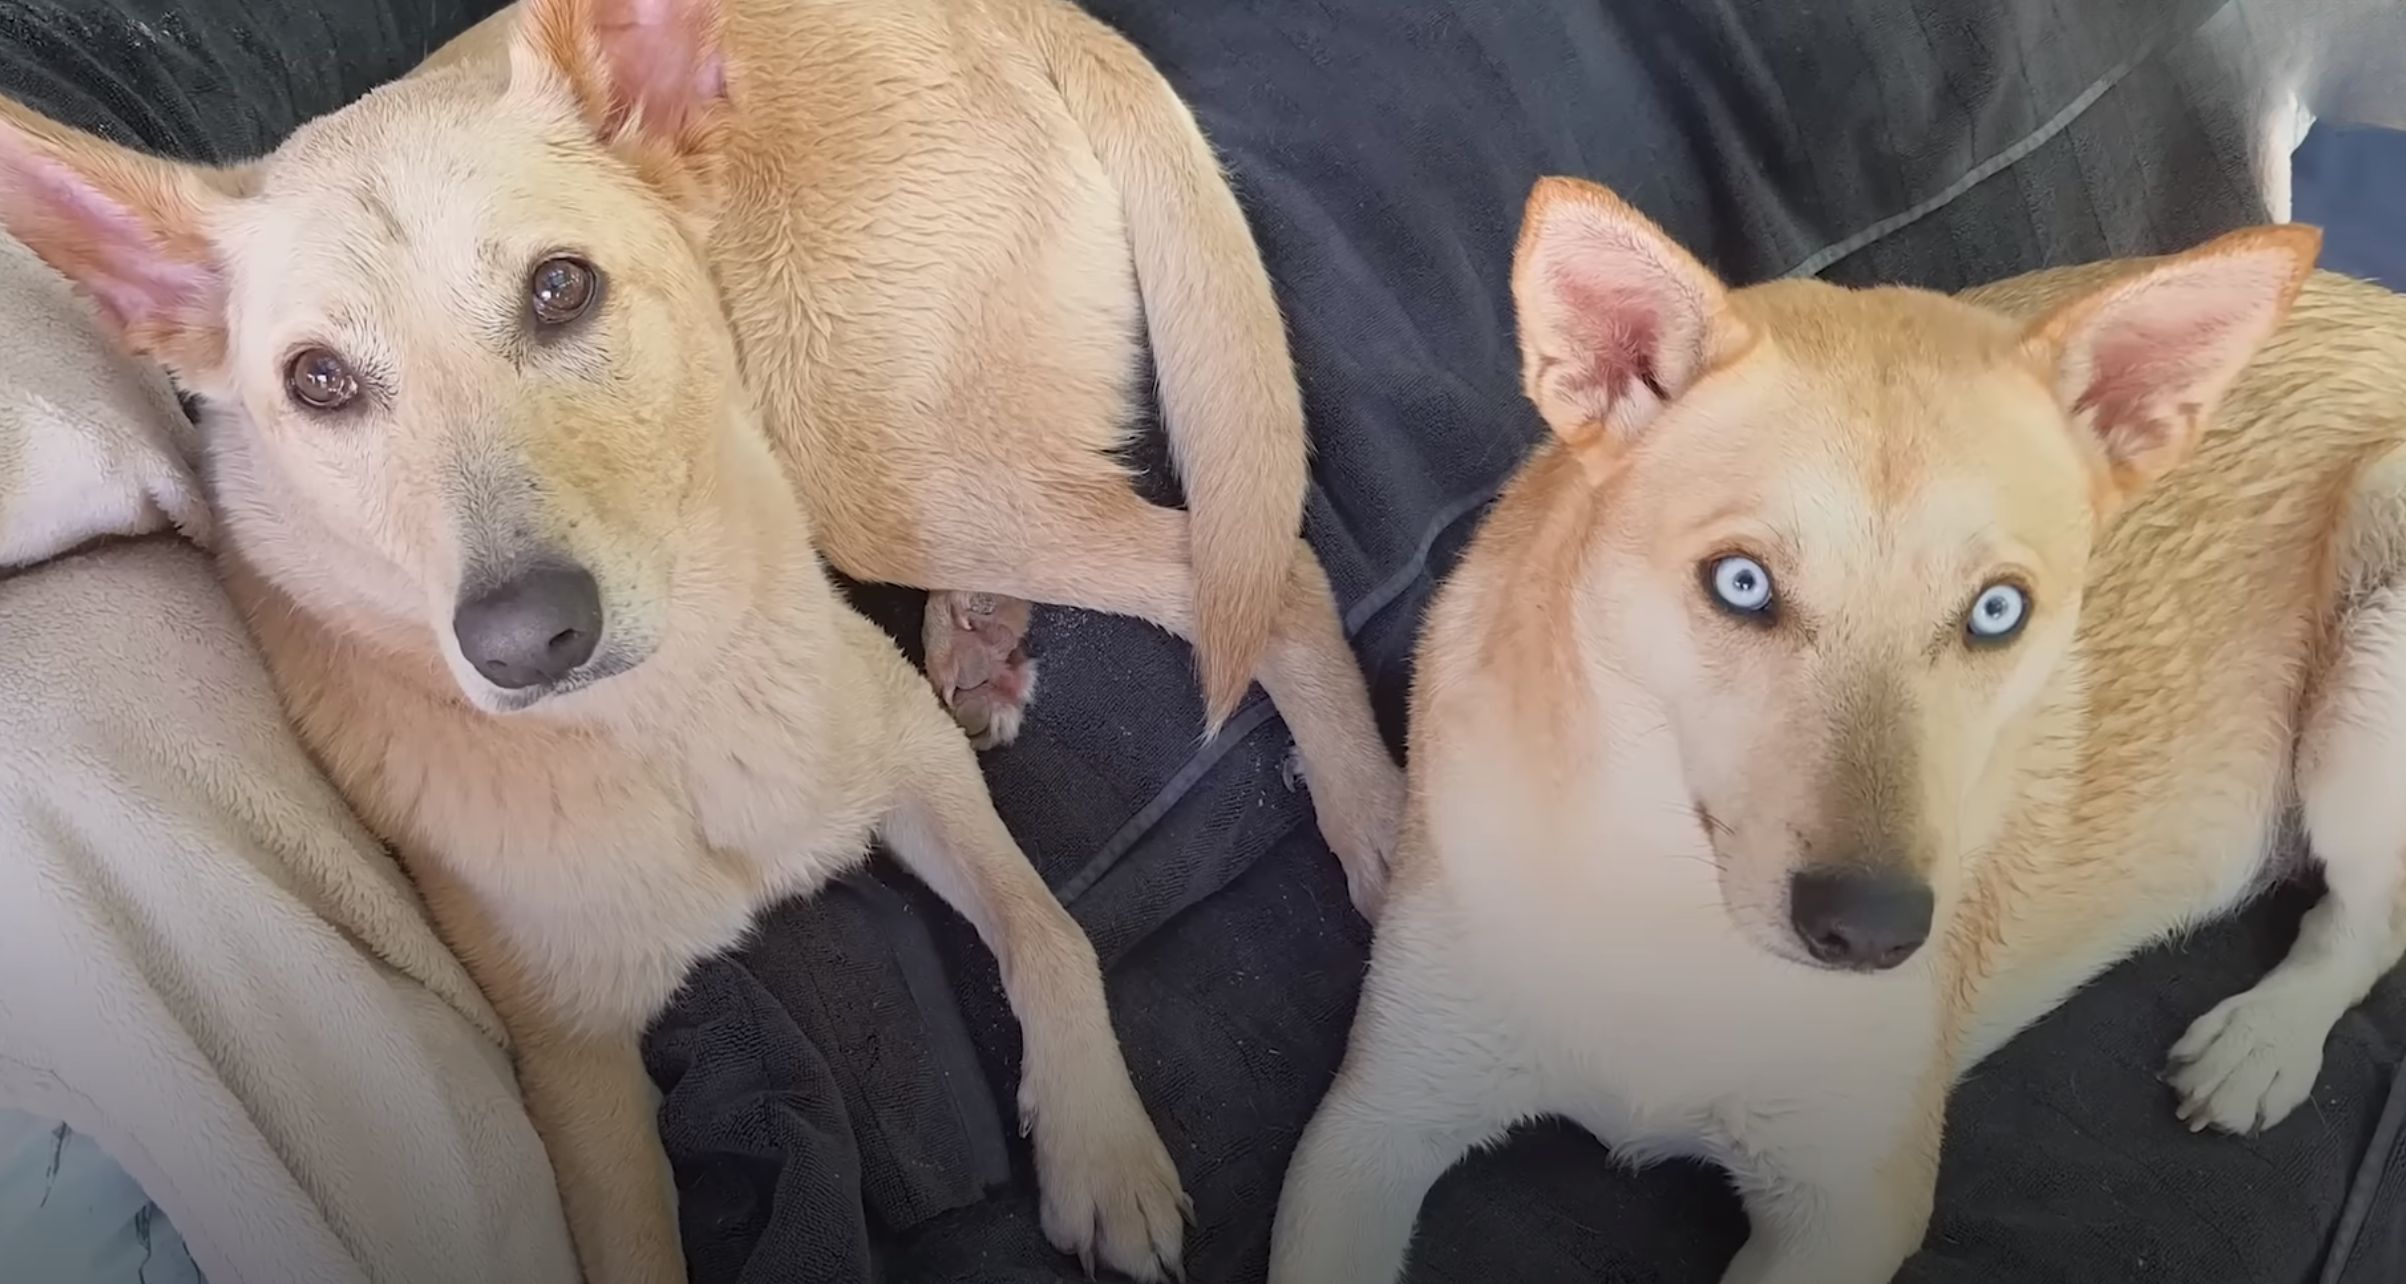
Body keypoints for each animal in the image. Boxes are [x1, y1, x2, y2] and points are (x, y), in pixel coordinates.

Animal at [0, 0, 1424, 1279]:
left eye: (560, 288)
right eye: (319, 382)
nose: (523, 640)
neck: (669, 721)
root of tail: (992, 4)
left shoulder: (912, 760)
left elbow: (1050, 935)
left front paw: (1101, 1152)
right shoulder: (580, 1083)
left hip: (870, 465)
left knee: (1267, 576)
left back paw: (1369, 820)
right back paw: (981, 633)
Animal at [1270, 179, 2396, 1284]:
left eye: (1999, 611)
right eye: (1741, 583)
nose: (1872, 933)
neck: (1668, 902)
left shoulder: (1847, 1207)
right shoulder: (1374, 1121)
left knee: (2373, 918)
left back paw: (2266, 1038)